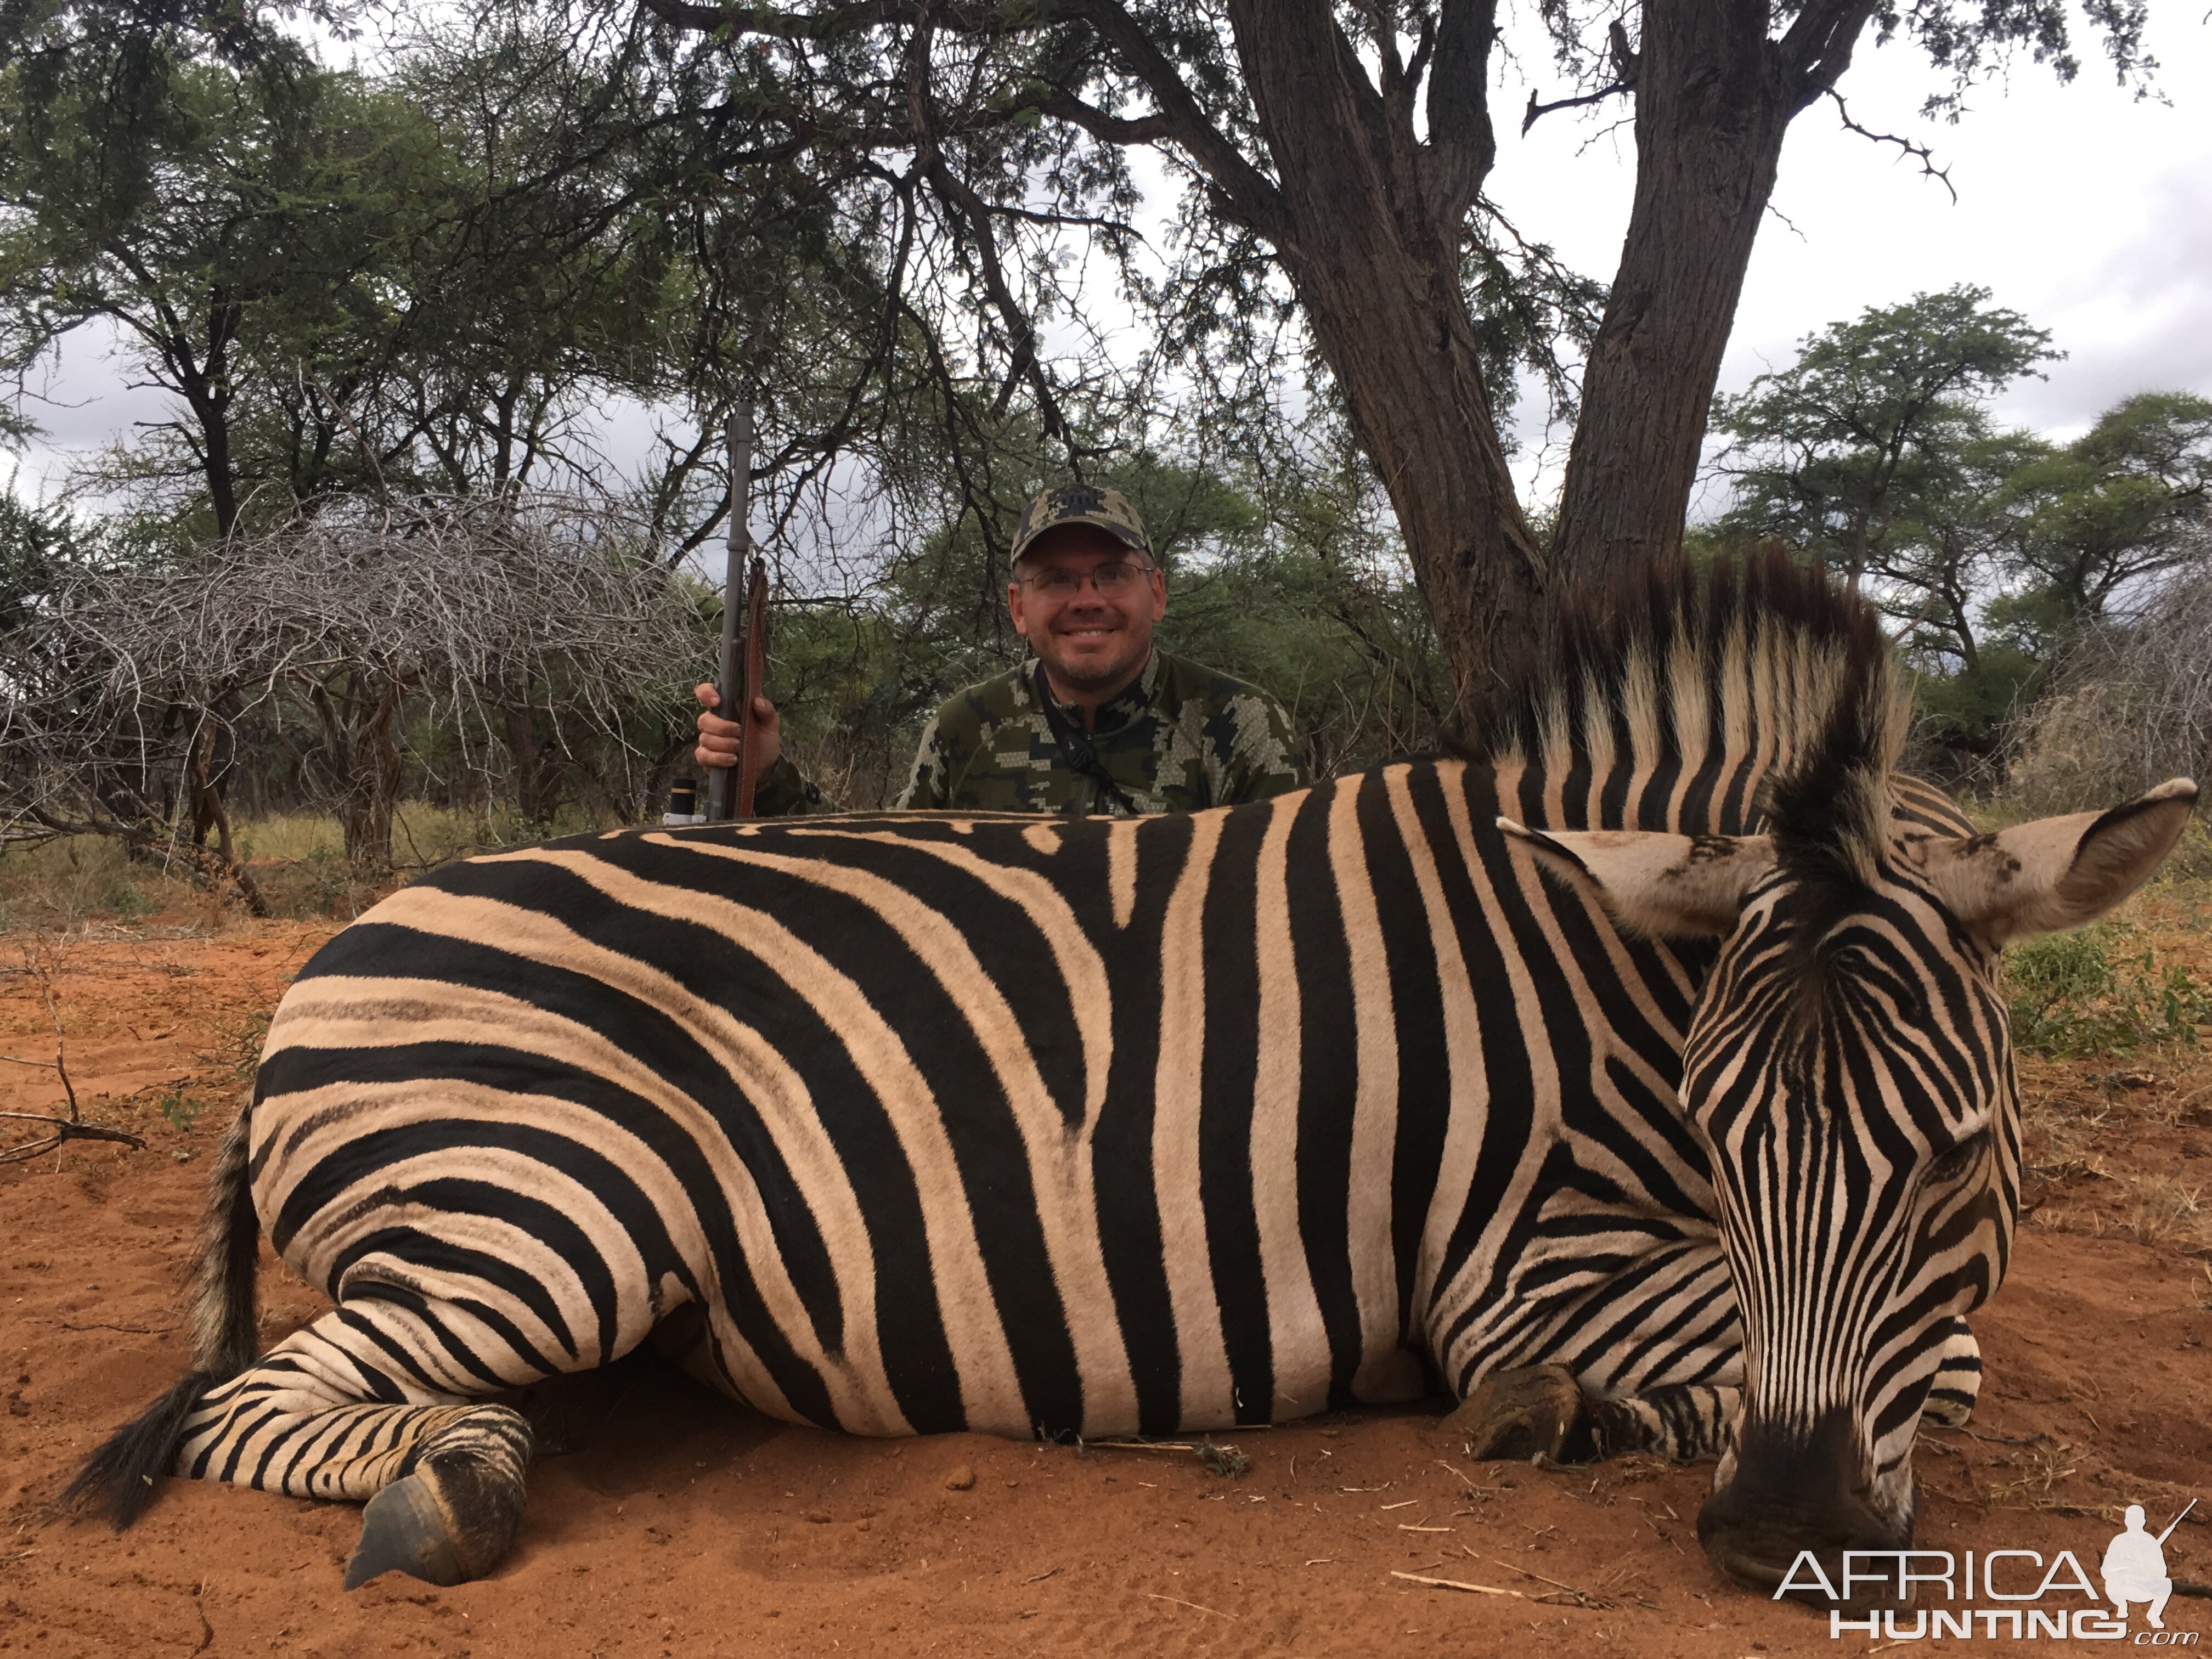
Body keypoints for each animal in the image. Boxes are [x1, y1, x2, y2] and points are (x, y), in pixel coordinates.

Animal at [69, 560, 2194, 1610]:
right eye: (1728, 1140)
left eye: (1960, 1164)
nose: (1776, 1544)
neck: (1599, 956)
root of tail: (306, 981)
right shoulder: (1517, 1260)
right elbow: (1934, 1363)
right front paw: (1552, 1411)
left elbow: (1922, 1348)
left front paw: (1578, 1419)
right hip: (551, 1207)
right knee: (261, 1403)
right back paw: (452, 1485)